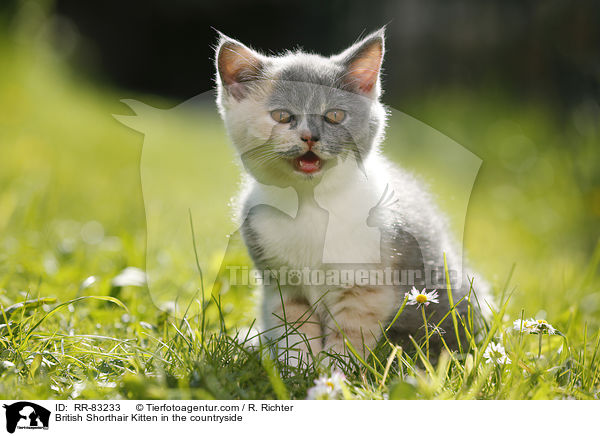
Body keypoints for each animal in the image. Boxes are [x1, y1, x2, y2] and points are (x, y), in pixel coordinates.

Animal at [214, 29, 488, 366]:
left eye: (334, 115)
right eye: (282, 116)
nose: (310, 136)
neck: (311, 205)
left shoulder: (366, 286)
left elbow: (348, 336)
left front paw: (333, 373)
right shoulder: (283, 287)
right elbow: (294, 332)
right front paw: (297, 370)